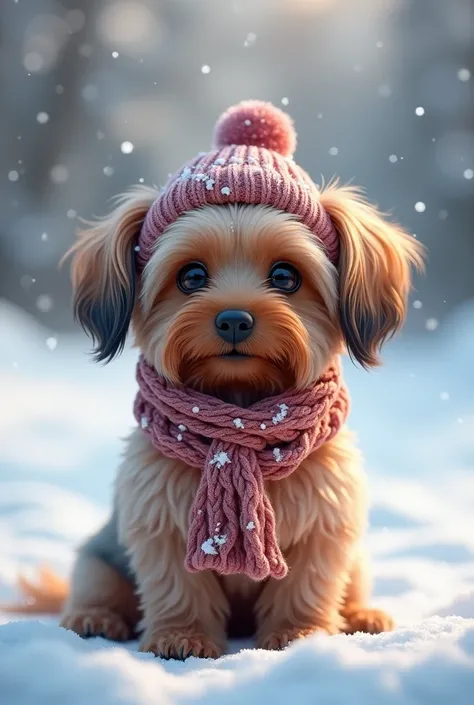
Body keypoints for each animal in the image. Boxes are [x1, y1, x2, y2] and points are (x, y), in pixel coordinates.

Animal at [7, 102, 424, 656]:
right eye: (191, 277)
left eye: (286, 276)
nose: (233, 320)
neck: (241, 417)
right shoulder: (160, 519)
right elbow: (178, 585)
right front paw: (181, 637)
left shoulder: (327, 521)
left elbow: (307, 585)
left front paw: (300, 635)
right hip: (97, 558)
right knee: (97, 589)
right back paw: (95, 619)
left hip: (357, 558)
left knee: (351, 587)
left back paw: (362, 615)